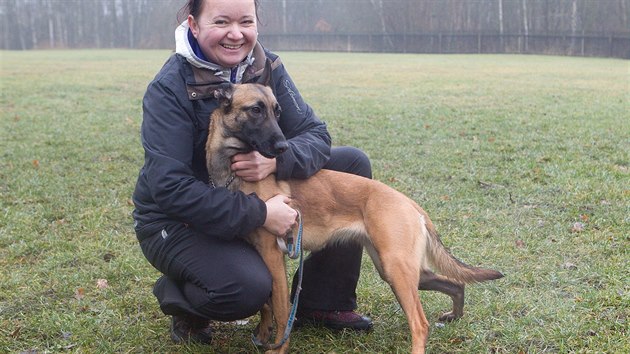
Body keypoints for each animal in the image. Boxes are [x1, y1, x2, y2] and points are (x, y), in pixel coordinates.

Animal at [206, 65, 504, 352]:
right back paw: (454, 315)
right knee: (456, 283)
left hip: (397, 269)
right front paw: (261, 335)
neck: (233, 171)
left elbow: (281, 313)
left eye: (277, 111)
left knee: (420, 324)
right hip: (398, 270)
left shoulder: (273, 255)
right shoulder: (264, 255)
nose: (282, 147)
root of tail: (411, 203)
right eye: (256, 110)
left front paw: (277, 347)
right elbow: (267, 305)